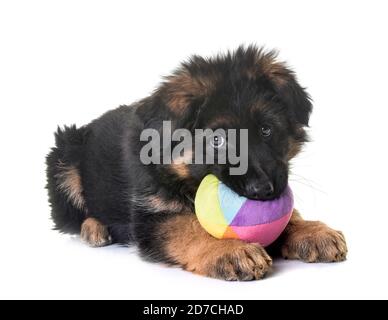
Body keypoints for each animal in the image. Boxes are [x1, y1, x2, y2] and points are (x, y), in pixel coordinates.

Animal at [47, 45, 348, 280]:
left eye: (266, 130)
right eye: (217, 140)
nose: (263, 192)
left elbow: (289, 216)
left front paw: (311, 231)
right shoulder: (152, 218)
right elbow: (188, 228)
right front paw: (228, 249)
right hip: (64, 157)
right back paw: (94, 228)